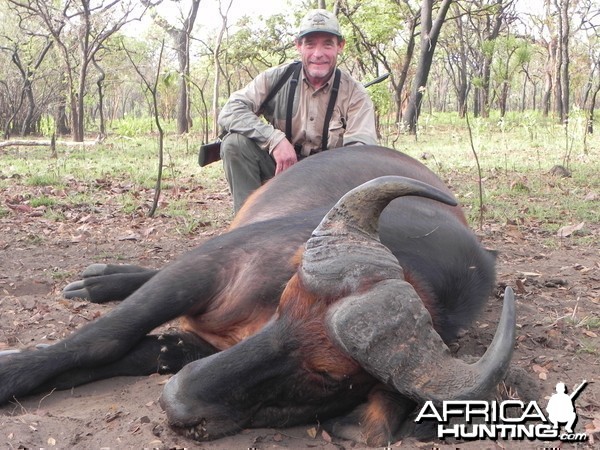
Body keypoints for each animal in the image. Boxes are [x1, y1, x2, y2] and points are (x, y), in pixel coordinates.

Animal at [0, 147, 516, 446]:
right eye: (285, 305)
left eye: (329, 375)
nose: (175, 403)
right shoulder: (206, 267)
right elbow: (101, 339)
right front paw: (11, 371)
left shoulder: (198, 346)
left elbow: (132, 352)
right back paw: (98, 280)